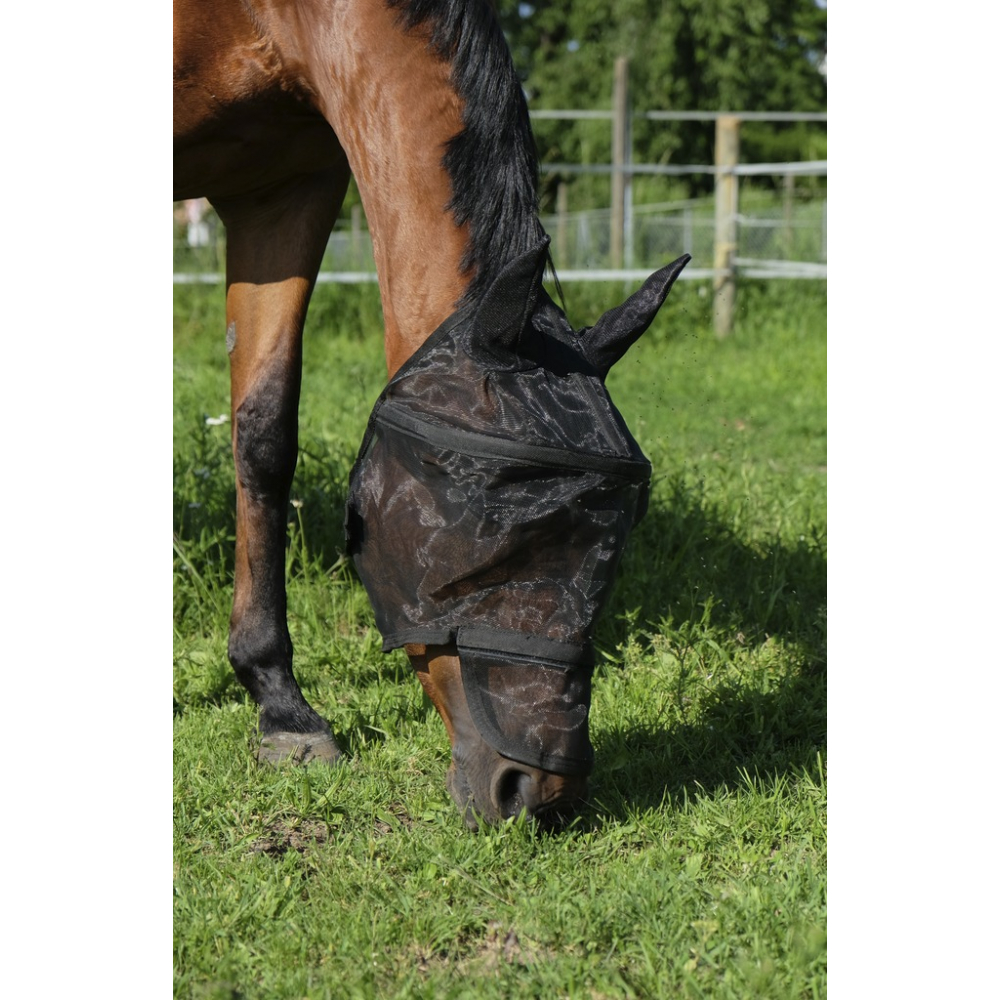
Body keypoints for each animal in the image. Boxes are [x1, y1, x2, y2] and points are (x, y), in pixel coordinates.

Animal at [173, 0, 688, 829]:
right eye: (483, 524)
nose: (538, 795)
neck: (261, 17)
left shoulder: (283, 186)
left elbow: (264, 432)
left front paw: (281, 706)